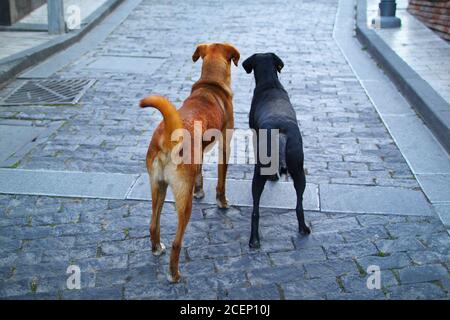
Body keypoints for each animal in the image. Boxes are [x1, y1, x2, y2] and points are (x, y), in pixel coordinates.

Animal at [140, 42, 239, 282]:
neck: (211, 85)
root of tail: (168, 136)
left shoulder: (199, 154)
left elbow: (200, 173)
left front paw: (200, 190)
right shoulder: (225, 147)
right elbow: (221, 182)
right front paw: (222, 202)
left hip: (158, 187)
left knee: (153, 224)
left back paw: (156, 248)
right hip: (182, 202)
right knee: (177, 242)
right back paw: (174, 274)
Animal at [243, 52, 310, 249]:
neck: (270, 82)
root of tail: (280, 133)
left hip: (258, 174)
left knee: (256, 210)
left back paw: (254, 239)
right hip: (299, 170)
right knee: (299, 204)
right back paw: (303, 228)